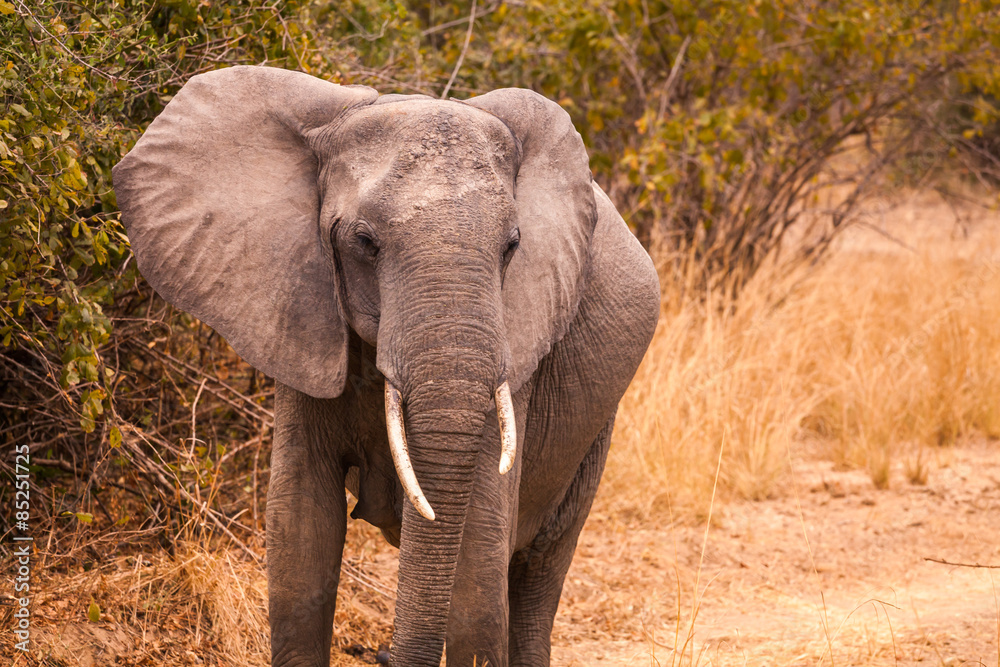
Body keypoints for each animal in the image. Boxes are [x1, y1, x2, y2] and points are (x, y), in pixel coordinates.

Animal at [112, 66, 659, 666]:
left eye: (512, 246)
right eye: (364, 241)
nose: (380, 652)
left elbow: (480, 557)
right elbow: (300, 534)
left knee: (537, 571)